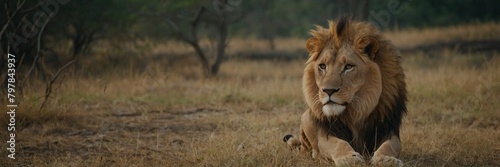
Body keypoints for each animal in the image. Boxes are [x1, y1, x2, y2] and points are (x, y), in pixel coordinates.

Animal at [284, 17, 408, 167]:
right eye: (322, 66)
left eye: (348, 67)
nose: (328, 90)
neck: (356, 112)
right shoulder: (327, 132)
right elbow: (337, 143)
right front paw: (349, 157)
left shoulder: (387, 128)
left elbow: (389, 145)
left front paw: (386, 159)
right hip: (306, 118)